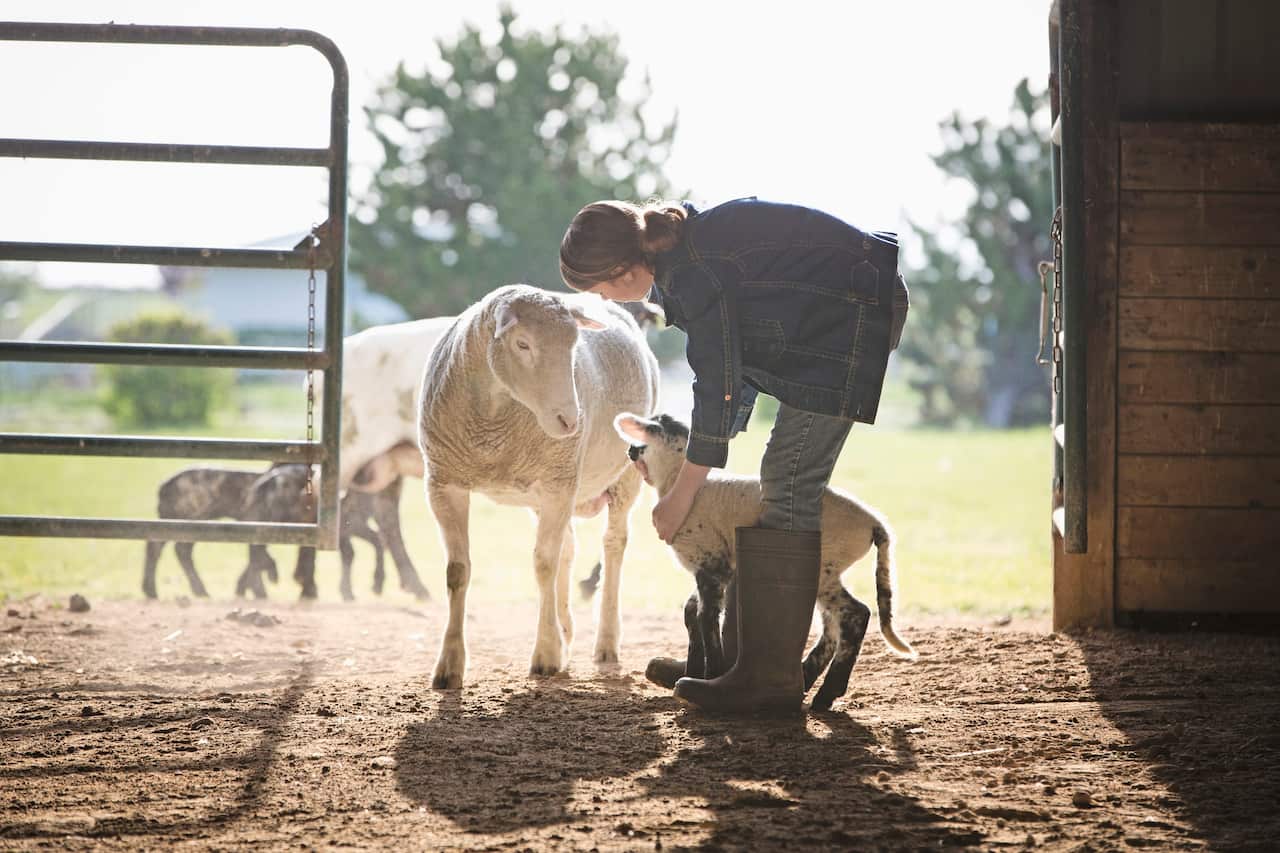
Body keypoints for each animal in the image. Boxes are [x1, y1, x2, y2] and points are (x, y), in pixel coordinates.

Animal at [419, 284, 659, 687]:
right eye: (523, 344)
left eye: (574, 344)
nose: (570, 420)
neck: (494, 419)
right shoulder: (444, 483)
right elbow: (457, 571)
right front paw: (449, 665)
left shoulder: (557, 483)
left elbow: (544, 564)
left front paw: (546, 654)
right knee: (569, 548)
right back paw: (567, 632)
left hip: (620, 475)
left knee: (613, 545)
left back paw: (605, 641)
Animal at [614, 411, 915, 712]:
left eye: (647, 435)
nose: (629, 450)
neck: (677, 480)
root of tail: (874, 523)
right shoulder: (716, 567)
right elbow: (690, 612)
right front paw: (692, 670)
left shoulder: (711, 561)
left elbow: (705, 617)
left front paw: (708, 677)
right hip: (829, 569)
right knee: (832, 625)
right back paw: (807, 680)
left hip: (826, 563)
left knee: (856, 614)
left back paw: (825, 693)